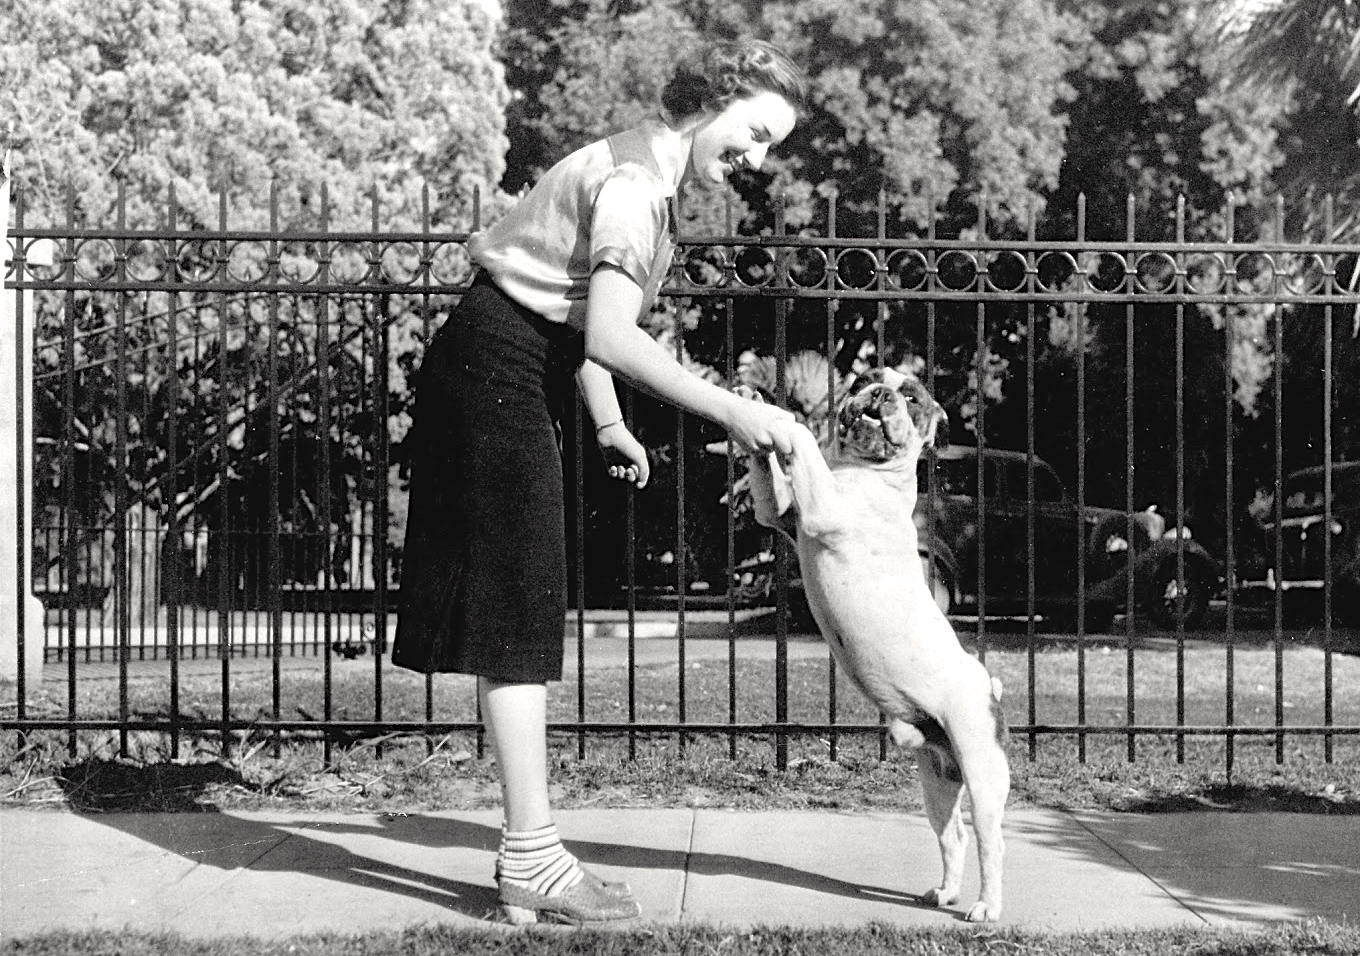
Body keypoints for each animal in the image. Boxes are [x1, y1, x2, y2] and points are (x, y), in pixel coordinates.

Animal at [734, 369, 1011, 924]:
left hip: (983, 774)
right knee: (954, 835)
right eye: (867, 378)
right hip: (937, 780)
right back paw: (944, 894)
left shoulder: (825, 509)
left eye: (912, 397)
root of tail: (987, 686)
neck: (861, 470)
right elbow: (769, 479)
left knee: (990, 841)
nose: (879, 394)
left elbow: (803, 446)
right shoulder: (780, 512)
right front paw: (755, 404)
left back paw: (985, 908)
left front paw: (790, 421)